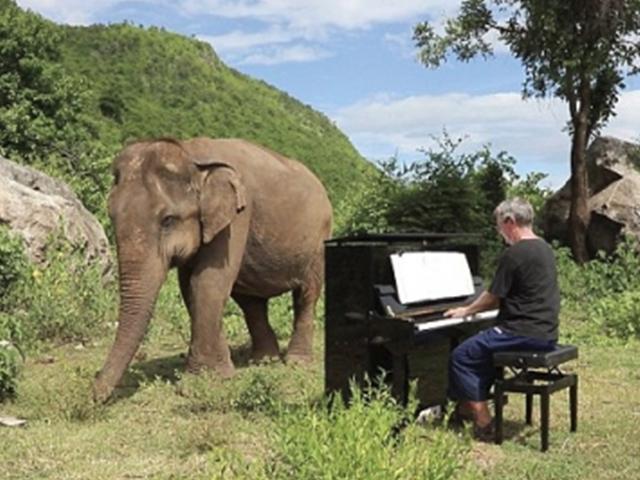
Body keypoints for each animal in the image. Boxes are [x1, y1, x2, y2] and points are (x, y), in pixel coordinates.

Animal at [92, 138, 332, 402]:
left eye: (167, 220)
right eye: (111, 216)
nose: (94, 394)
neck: (190, 153)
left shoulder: (238, 216)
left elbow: (206, 281)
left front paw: (199, 382)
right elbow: (189, 287)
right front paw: (220, 374)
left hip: (319, 242)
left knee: (306, 296)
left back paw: (296, 362)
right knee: (252, 303)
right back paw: (262, 361)